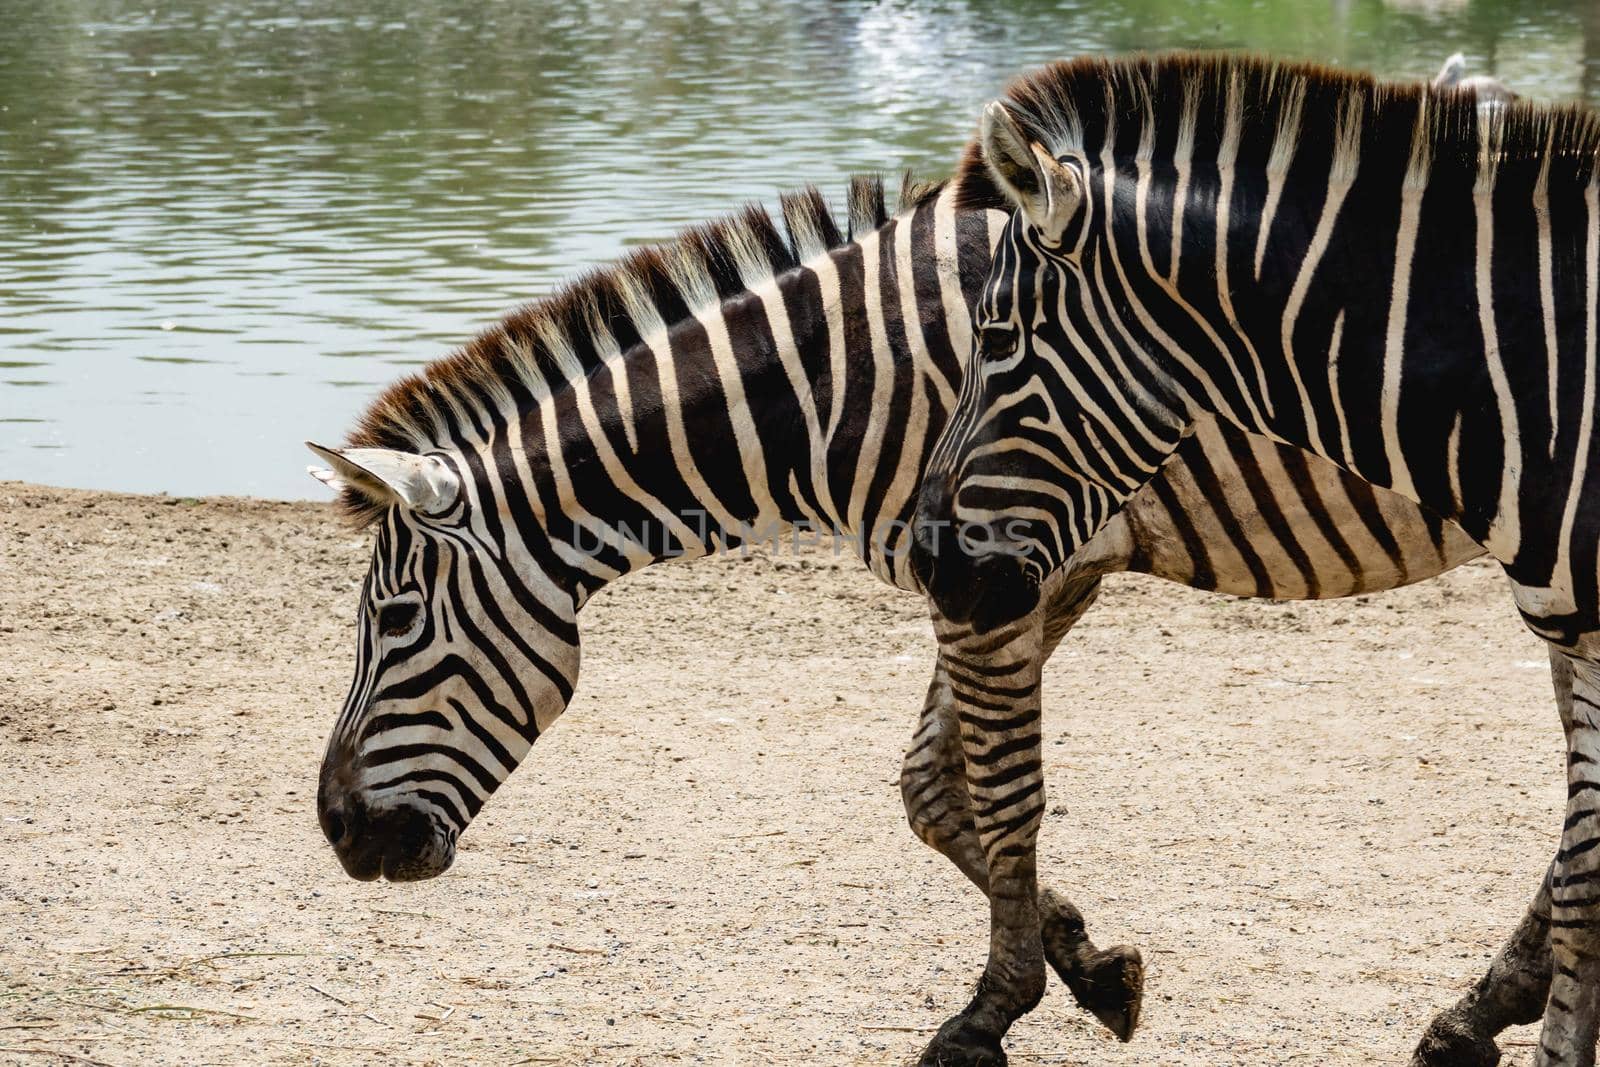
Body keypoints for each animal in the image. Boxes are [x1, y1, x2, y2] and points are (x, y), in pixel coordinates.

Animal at [308, 131, 1536, 1067]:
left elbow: (997, 797)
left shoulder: (994, 579)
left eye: (395, 624)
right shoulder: (1038, 578)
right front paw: (1090, 968)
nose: (336, 832)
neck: (838, 386)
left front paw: (991, 1014)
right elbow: (932, 791)